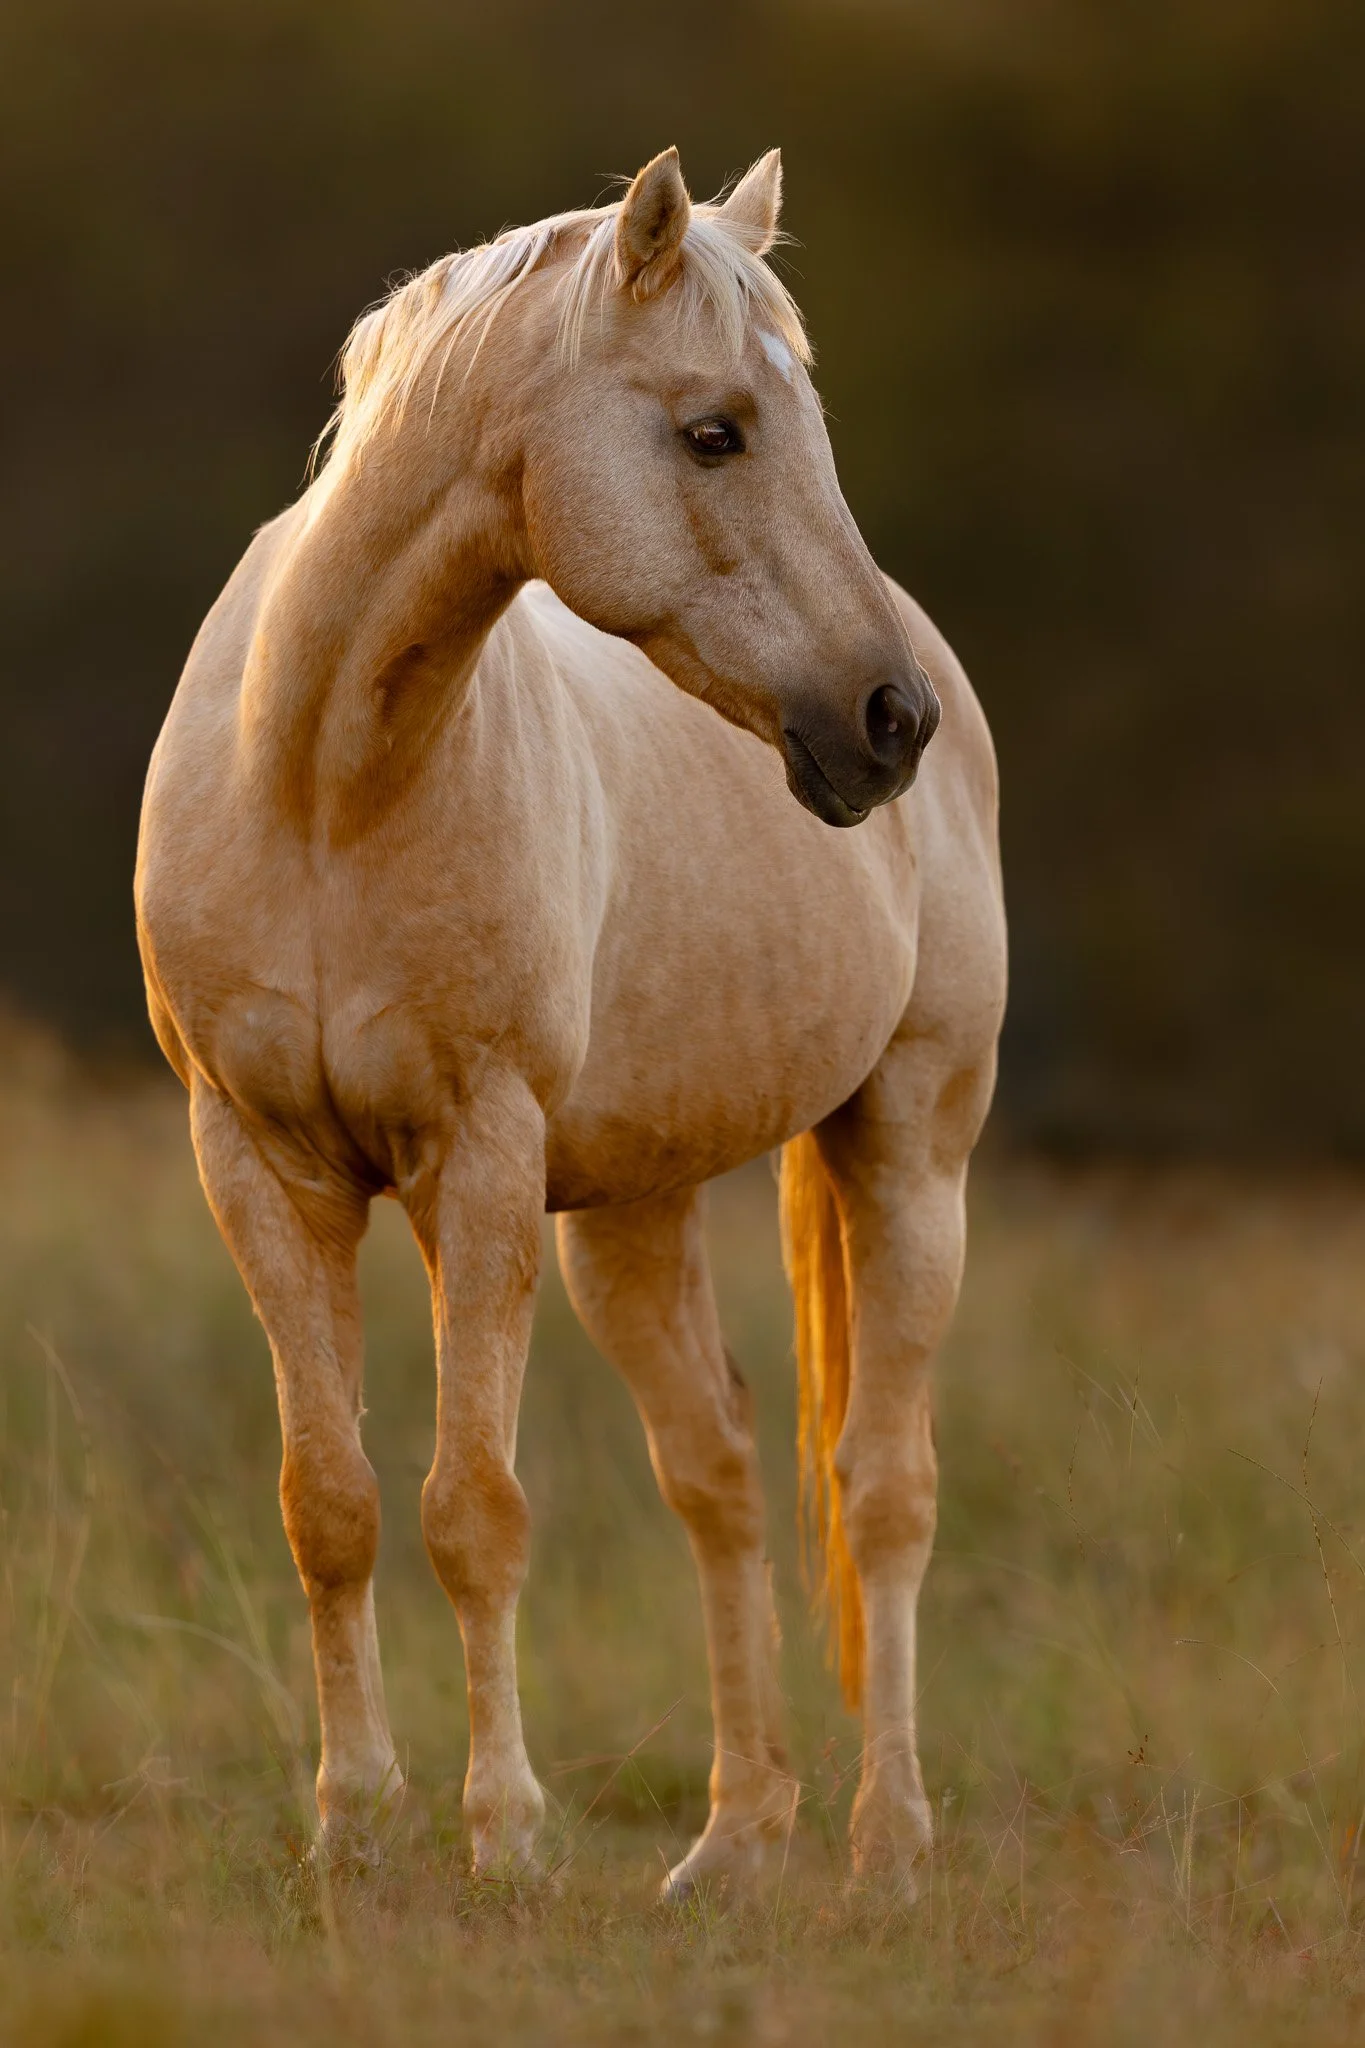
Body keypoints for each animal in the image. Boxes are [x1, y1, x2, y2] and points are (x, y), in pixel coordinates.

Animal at [135, 145, 1006, 1897]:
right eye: (714, 428)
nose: (887, 723)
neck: (322, 784)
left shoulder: (475, 1157)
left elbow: (476, 1509)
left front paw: (505, 1840)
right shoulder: (258, 1162)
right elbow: (329, 1504)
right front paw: (350, 1829)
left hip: (908, 1145)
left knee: (881, 1491)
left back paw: (885, 1846)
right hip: (630, 1213)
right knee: (721, 1477)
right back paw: (733, 1845)